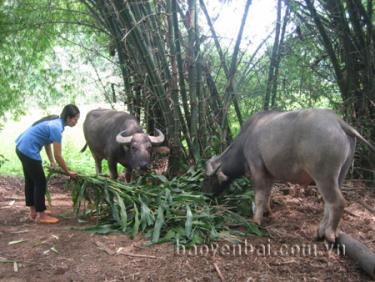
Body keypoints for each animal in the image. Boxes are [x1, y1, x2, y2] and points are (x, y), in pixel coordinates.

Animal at [203, 109, 375, 241]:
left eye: (208, 178)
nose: (204, 194)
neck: (246, 139)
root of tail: (339, 121)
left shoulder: (257, 169)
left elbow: (259, 196)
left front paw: (256, 220)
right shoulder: (269, 174)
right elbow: (267, 194)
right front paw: (268, 212)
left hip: (324, 177)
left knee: (337, 202)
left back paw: (328, 233)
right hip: (340, 175)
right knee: (329, 203)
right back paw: (322, 230)